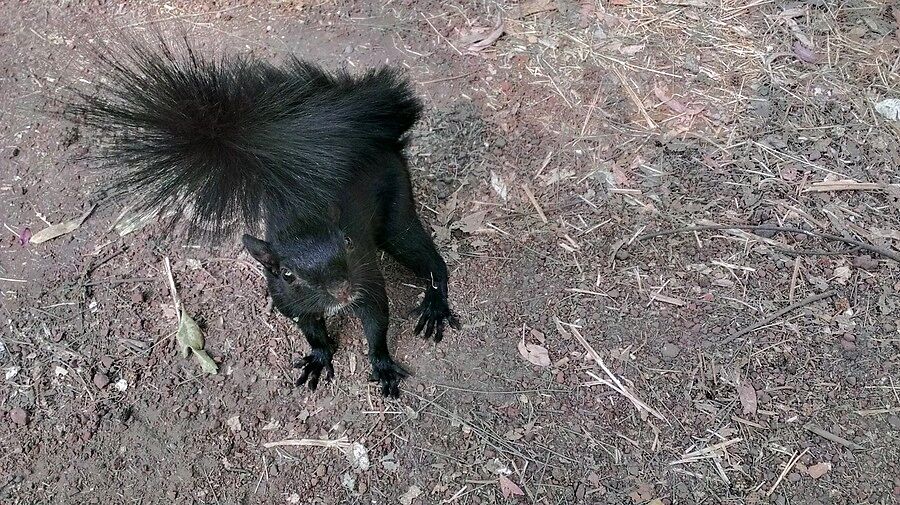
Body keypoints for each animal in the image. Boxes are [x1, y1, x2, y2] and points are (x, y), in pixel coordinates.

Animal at [71, 41, 460, 396]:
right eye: (287, 274)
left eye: (348, 243)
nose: (341, 289)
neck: (302, 222)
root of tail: (377, 136)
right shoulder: (291, 303)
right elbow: (313, 333)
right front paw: (319, 358)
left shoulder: (367, 282)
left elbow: (377, 324)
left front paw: (382, 366)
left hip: (396, 216)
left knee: (430, 260)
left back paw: (434, 305)